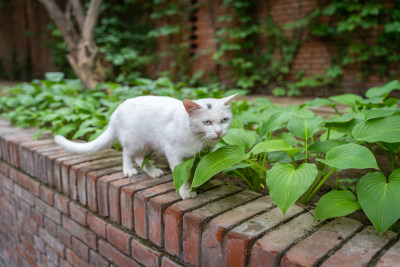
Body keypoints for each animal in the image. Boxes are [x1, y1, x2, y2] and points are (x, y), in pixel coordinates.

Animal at [54, 95, 236, 200]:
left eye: (224, 120)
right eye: (207, 122)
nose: (219, 132)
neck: (198, 138)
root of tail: (116, 111)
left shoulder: (202, 155)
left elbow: (198, 169)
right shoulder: (173, 152)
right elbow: (182, 175)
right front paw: (186, 190)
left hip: (149, 143)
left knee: (139, 157)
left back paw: (153, 172)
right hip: (134, 140)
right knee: (128, 154)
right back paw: (128, 170)